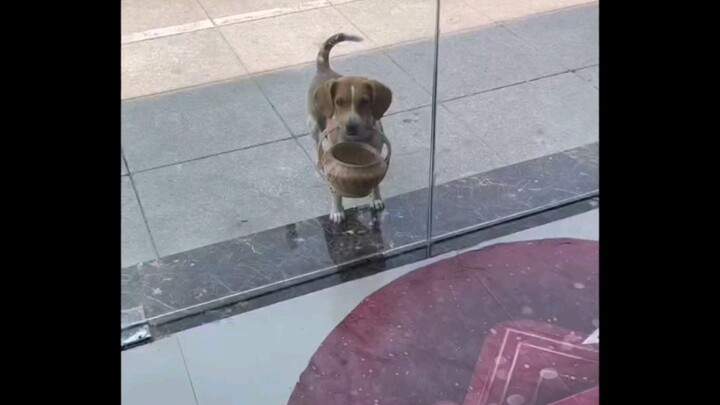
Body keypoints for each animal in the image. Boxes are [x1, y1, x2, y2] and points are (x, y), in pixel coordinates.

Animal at [306, 34, 390, 224]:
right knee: (316, 142)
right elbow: (336, 191)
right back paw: (318, 158)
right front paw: (337, 211)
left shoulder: (375, 154)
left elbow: (376, 181)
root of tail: (324, 69)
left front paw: (376, 199)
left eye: (365, 101)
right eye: (338, 102)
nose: (351, 126)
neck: (357, 139)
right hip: (313, 125)